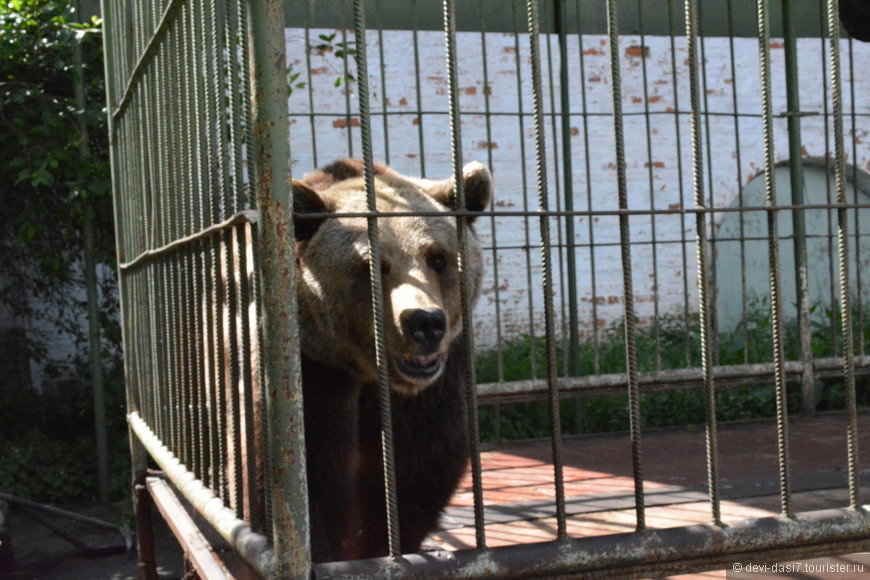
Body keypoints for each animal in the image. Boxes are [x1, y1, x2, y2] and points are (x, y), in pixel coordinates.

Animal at [292, 156, 494, 560]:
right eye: (371, 265)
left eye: (437, 258)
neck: (367, 372)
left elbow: (416, 471)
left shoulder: (432, 392)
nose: (424, 322)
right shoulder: (318, 373)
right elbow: (315, 476)